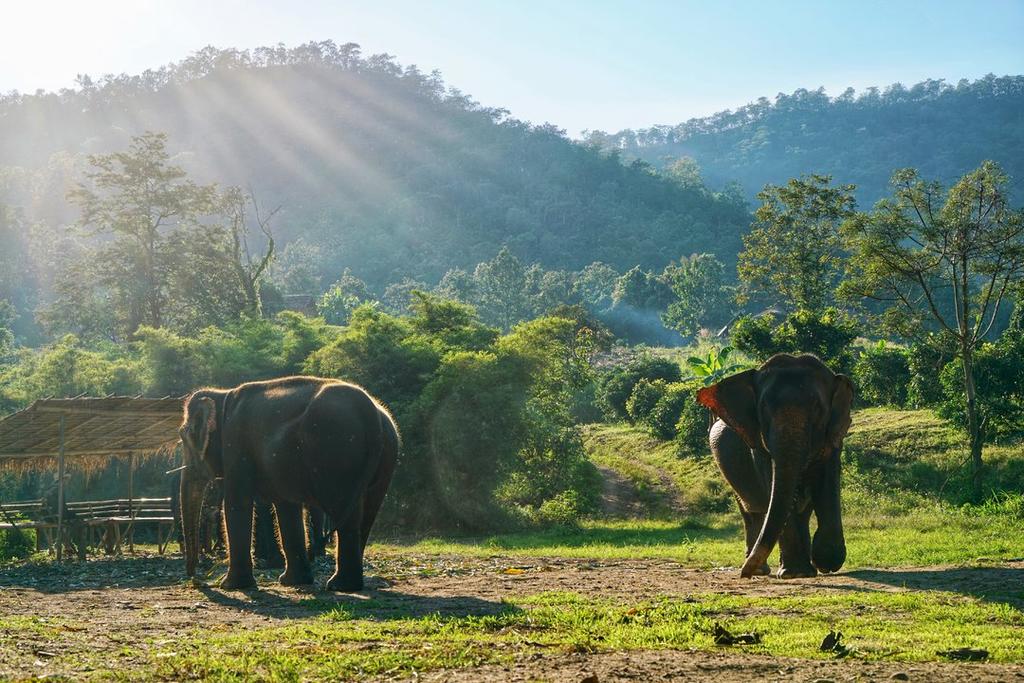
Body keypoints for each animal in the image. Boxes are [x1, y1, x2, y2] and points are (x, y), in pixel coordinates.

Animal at [178, 375, 399, 592]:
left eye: (185, 437)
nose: (196, 577)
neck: (222, 395)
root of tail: (369, 411)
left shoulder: (236, 444)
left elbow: (236, 503)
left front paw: (230, 585)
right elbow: (287, 508)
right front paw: (292, 581)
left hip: (337, 449)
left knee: (345, 512)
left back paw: (339, 585)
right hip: (384, 455)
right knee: (367, 514)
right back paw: (347, 584)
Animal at [696, 353, 853, 579]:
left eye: (817, 409)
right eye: (763, 411)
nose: (744, 574)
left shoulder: (833, 438)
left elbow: (827, 481)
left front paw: (826, 562)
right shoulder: (757, 443)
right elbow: (773, 483)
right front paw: (794, 574)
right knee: (752, 511)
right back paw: (766, 569)